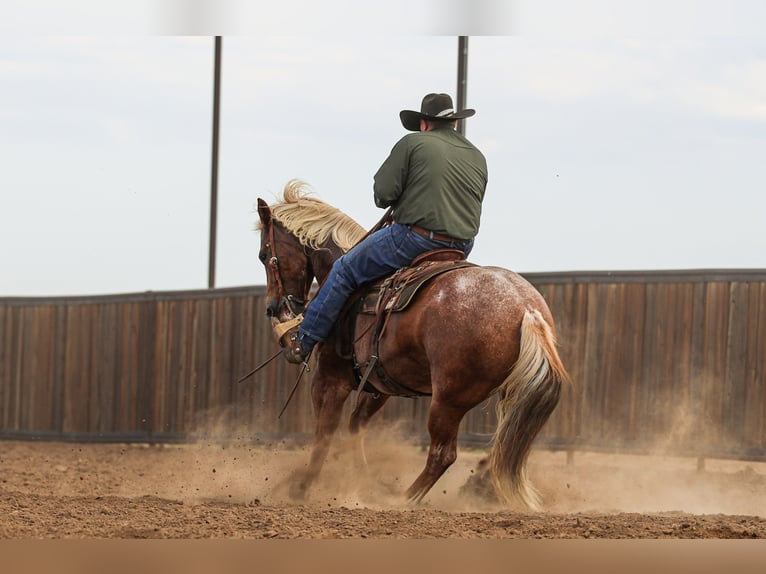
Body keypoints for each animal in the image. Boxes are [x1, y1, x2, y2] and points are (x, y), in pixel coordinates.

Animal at [255, 180, 570, 509]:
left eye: (264, 255)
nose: (273, 307)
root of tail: (526, 309)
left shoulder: (329, 380)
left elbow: (324, 435)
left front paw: (299, 488)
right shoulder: (379, 386)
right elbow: (356, 426)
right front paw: (364, 482)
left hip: (448, 399)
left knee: (442, 455)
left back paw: (400, 500)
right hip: (507, 393)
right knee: (504, 444)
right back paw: (476, 486)